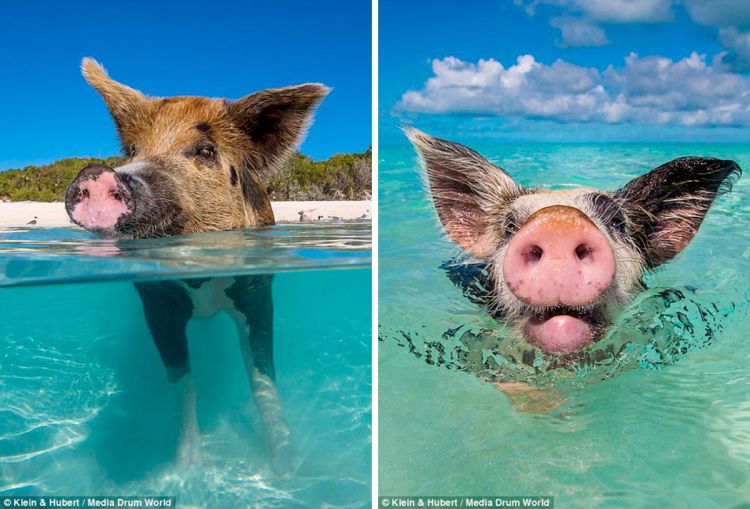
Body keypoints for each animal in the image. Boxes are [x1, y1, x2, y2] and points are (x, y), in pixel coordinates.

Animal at [66, 57, 330, 474]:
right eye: (132, 149)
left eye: (205, 150)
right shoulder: (155, 300)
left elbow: (263, 378)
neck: (203, 284)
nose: (95, 173)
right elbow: (181, 379)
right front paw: (186, 471)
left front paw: (287, 471)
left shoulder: (257, 290)